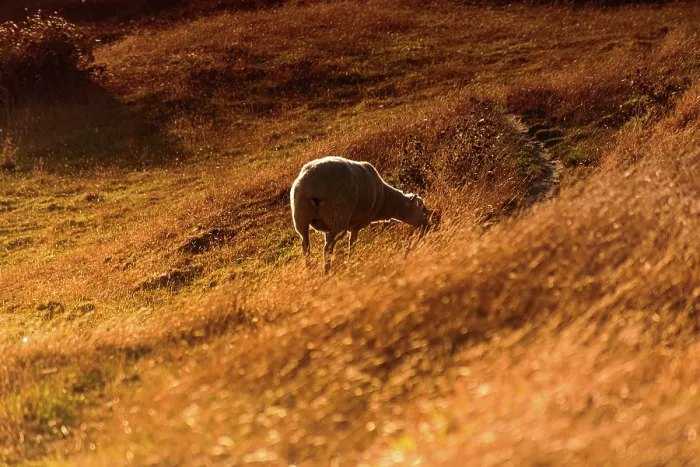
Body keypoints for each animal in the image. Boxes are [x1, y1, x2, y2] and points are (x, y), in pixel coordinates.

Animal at [290, 156, 431, 273]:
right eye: (421, 206)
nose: (428, 224)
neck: (385, 201)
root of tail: (310, 186)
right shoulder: (356, 226)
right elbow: (352, 245)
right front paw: (350, 263)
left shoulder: (327, 227)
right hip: (337, 217)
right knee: (327, 248)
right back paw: (326, 272)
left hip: (301, 216)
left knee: (305, 246)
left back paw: (309, 270)